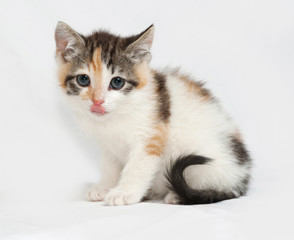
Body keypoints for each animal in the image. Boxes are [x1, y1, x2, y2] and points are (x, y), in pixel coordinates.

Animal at [54, 21, 250, 205]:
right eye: (83, 80)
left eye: (117, 82)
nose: (98, 101)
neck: (116, 116)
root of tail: (242, 176)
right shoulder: (109, 147)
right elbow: (110, 166)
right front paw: (105, 187)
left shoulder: (151, 136)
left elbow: (138, 167)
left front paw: (124, 192)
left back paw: (177, 195)